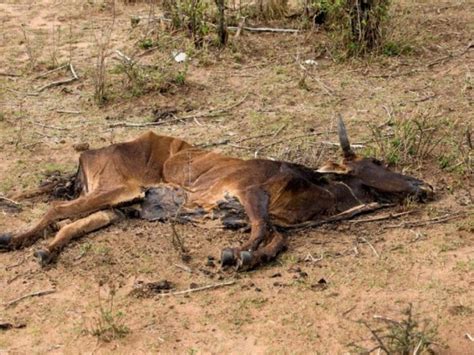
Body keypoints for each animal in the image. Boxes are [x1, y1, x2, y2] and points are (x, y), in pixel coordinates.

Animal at [0, 117, 434, 270]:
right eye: (377, 161)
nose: (424, 185)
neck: (315, 187)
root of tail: (91, 152)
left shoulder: (271, 217)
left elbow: (277, 240)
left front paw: (246, 257)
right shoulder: (250, 194)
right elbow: (261, 231)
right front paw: (237, 254)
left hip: (118, 207)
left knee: (72, 224)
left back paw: (45, 251)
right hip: (119, 188)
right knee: (57, 208)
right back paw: (17, 240)